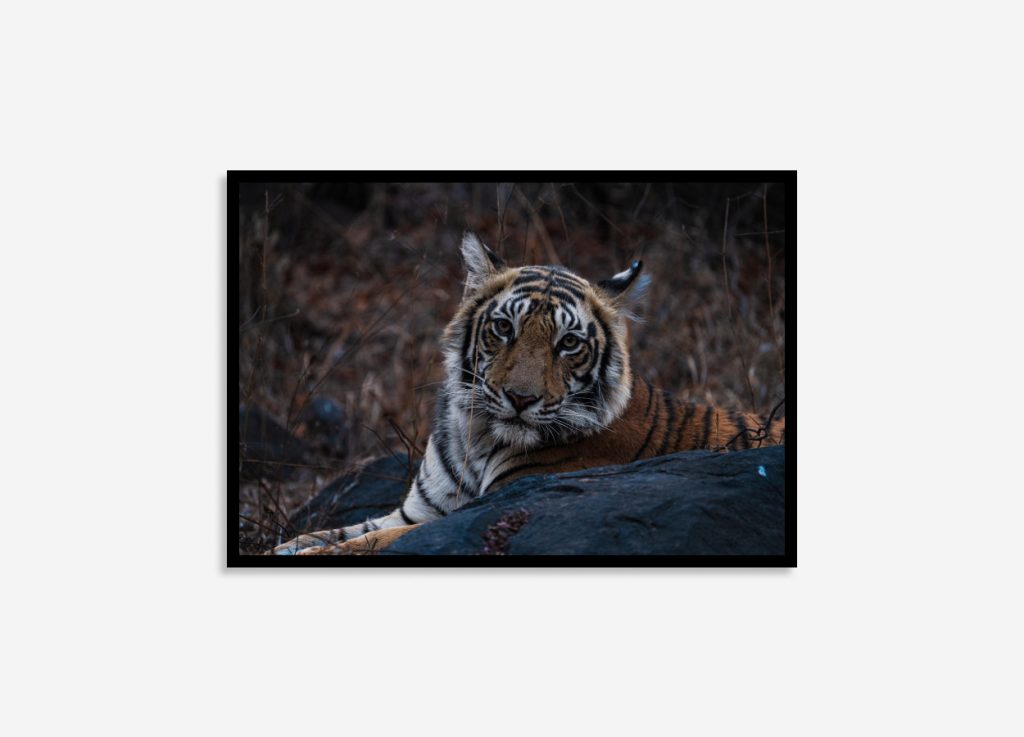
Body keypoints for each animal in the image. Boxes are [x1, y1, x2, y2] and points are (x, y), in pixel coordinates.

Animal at [272, 232, 784, 555]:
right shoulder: (417, 512)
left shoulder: (484, 509)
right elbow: (331, 532)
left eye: (569, 343)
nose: (520, 399)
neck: (475, 437)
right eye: (504, 328)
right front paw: (288, 544)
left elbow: (361, 544)